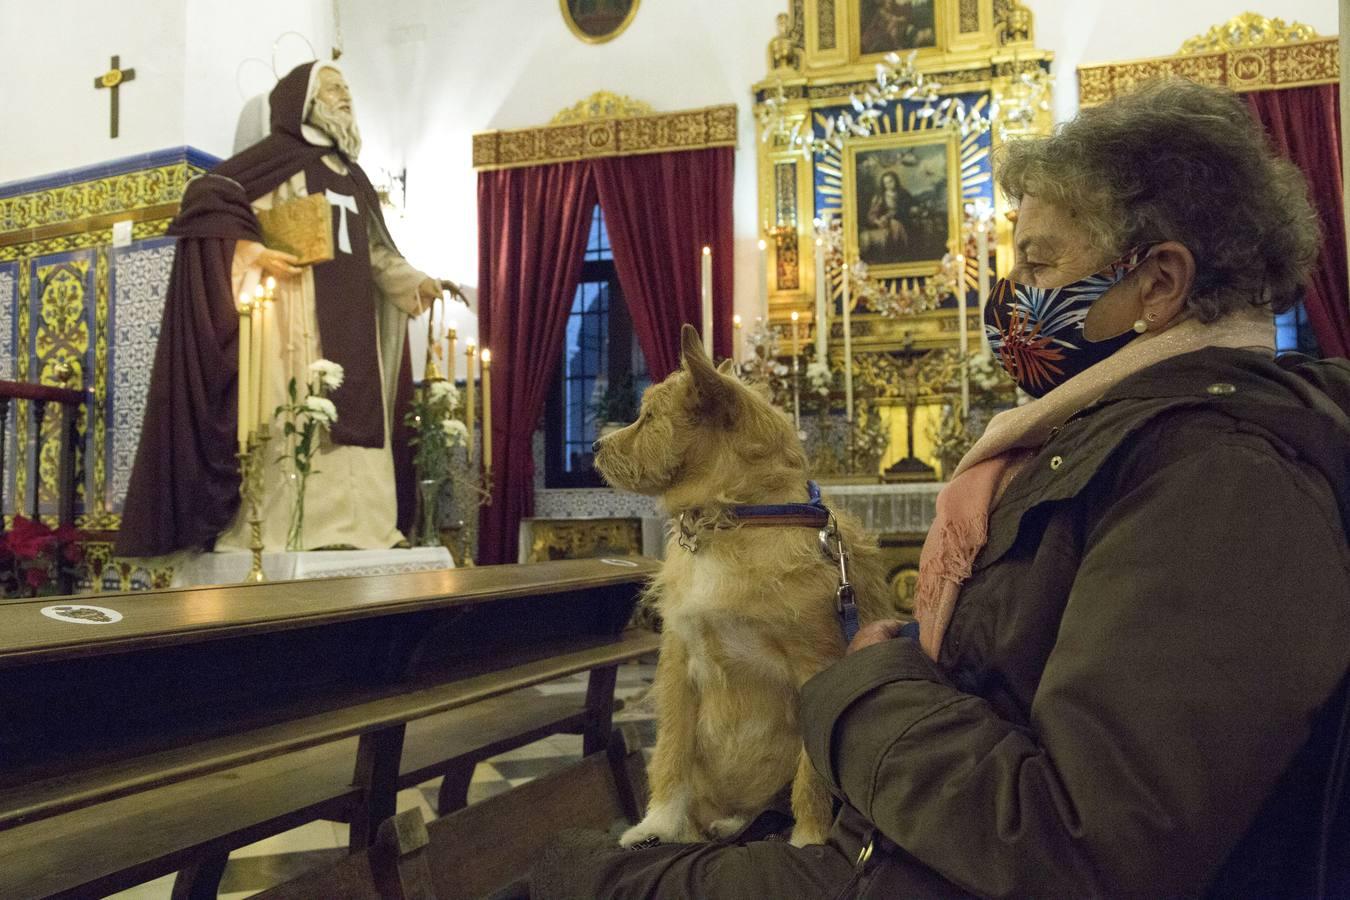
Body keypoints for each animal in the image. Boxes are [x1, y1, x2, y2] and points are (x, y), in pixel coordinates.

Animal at [596, 325, 891, 852]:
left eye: (647, 417)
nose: (593, 448)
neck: (733, 522)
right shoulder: (677, 660)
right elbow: (670, 750)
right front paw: (658, 824)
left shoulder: (817, 670)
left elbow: (809, 780)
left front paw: (808, 841)